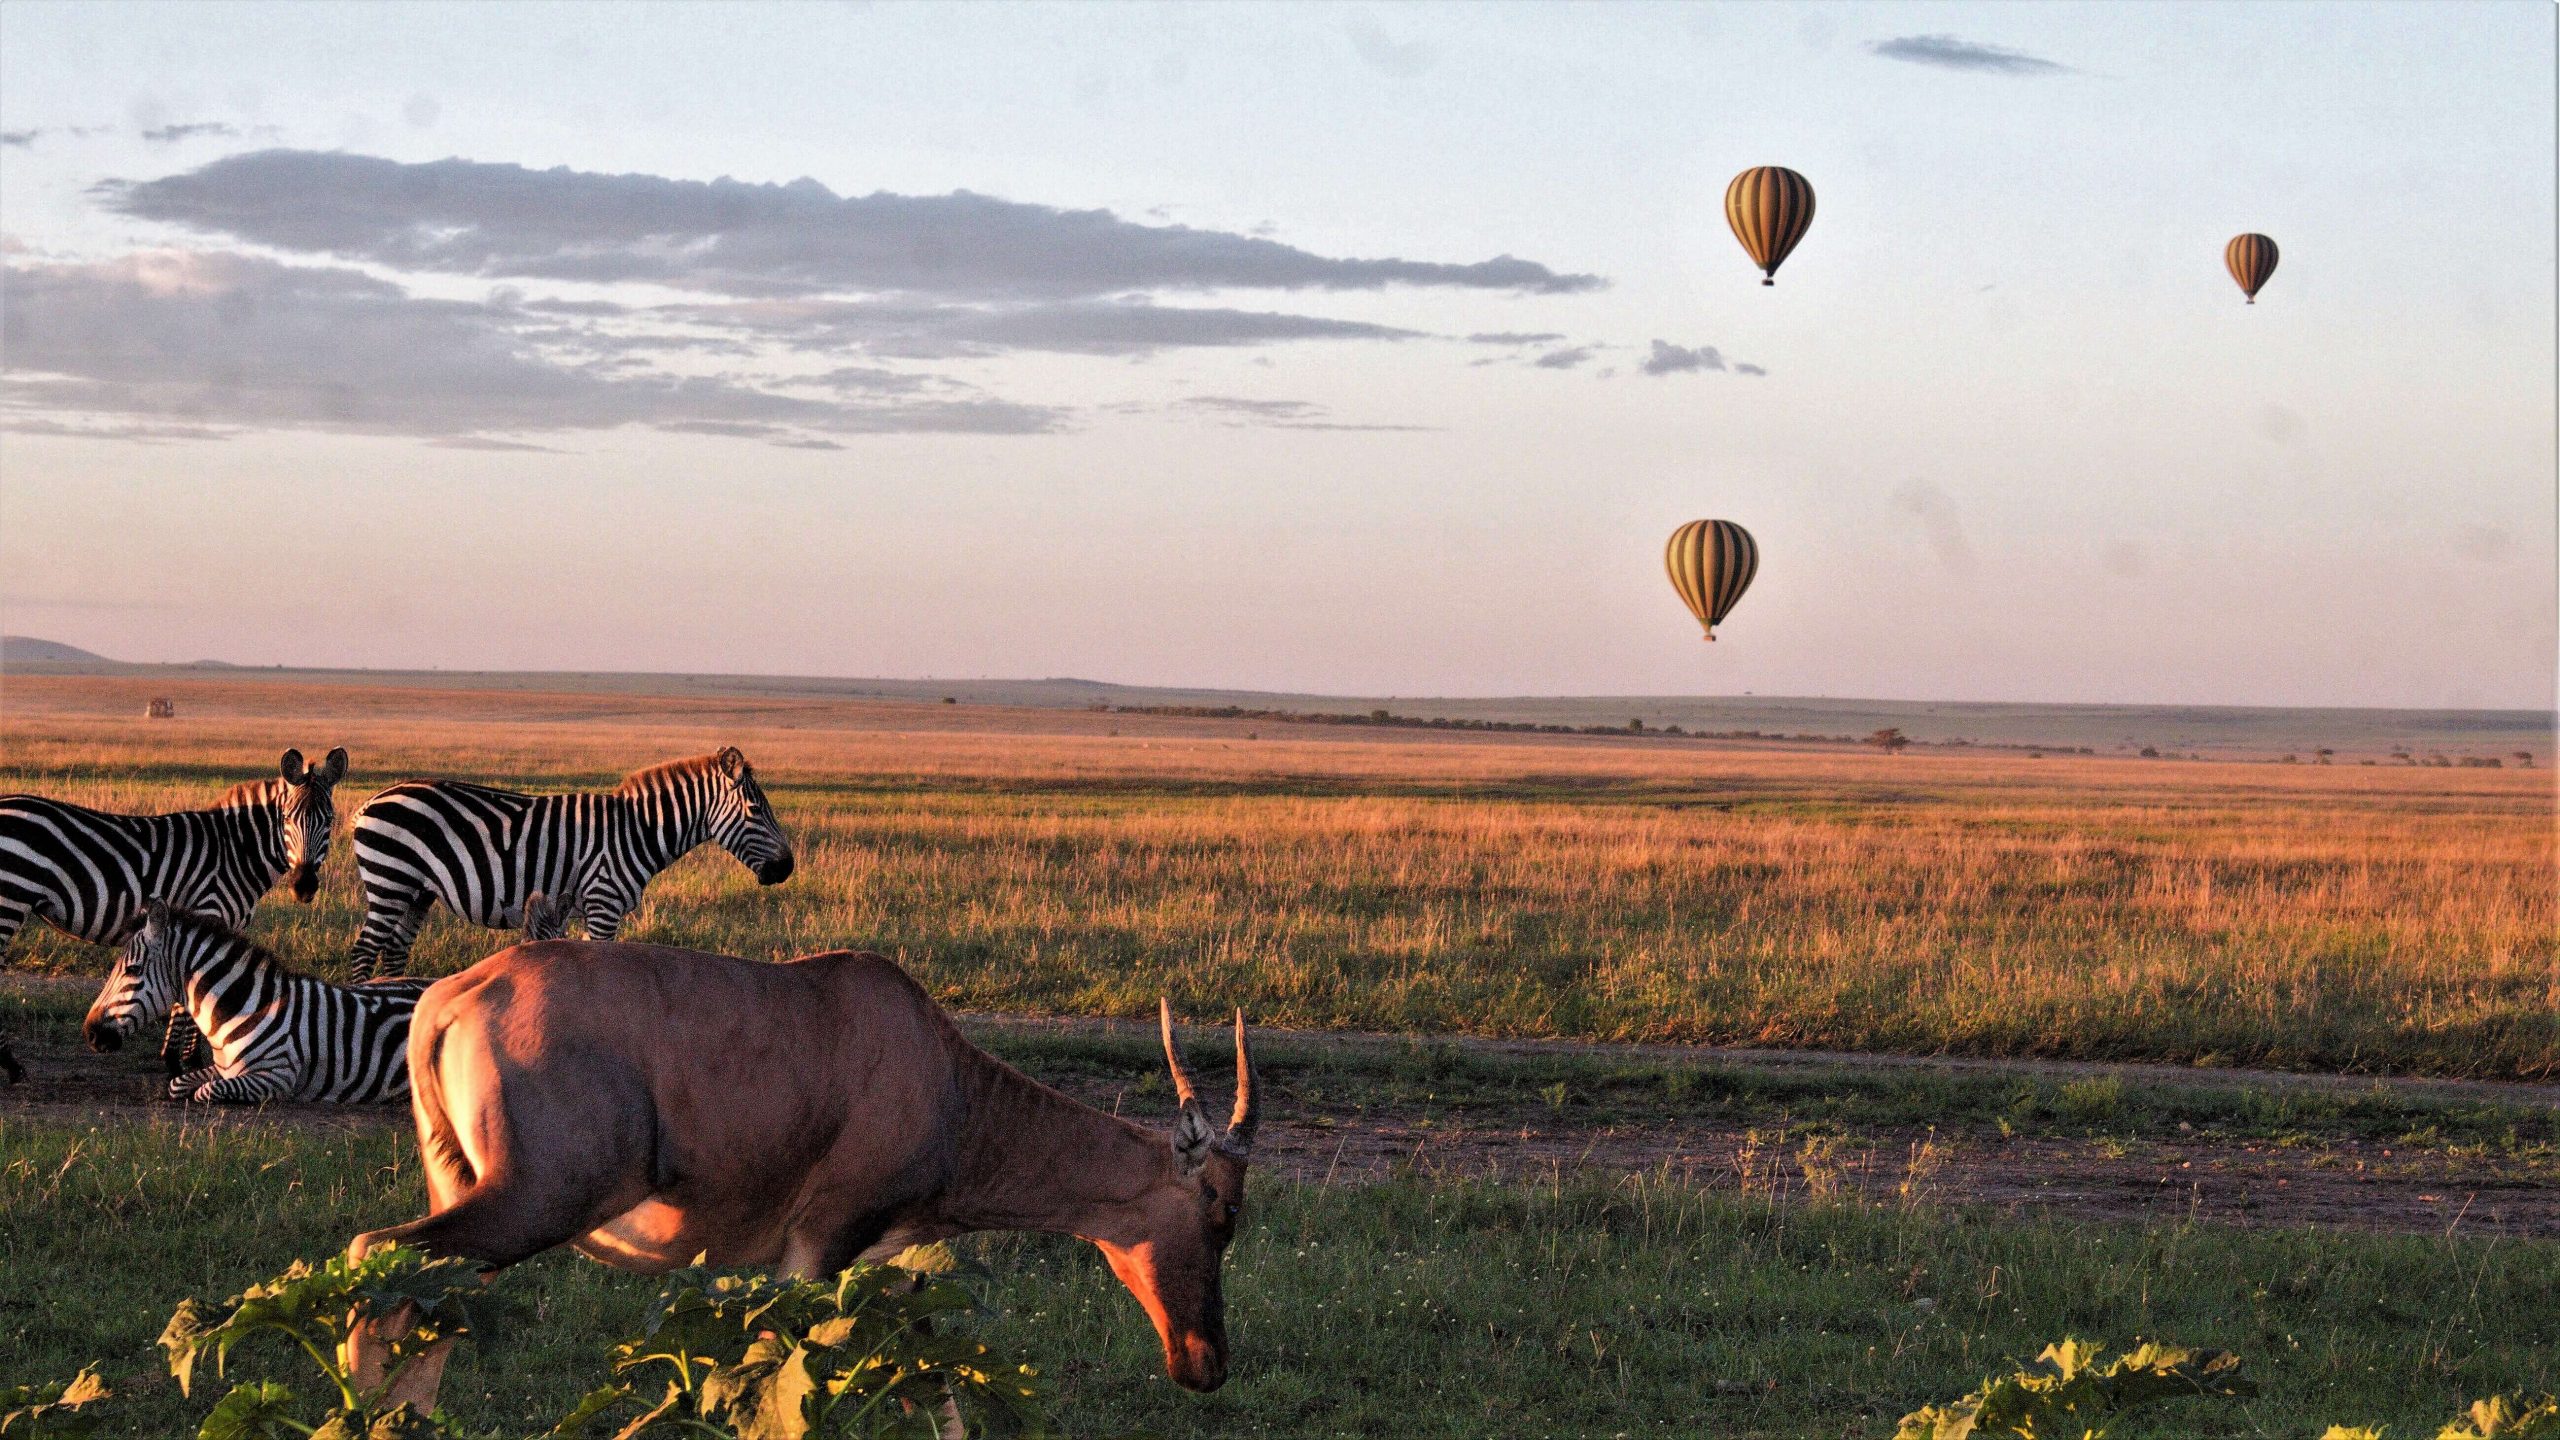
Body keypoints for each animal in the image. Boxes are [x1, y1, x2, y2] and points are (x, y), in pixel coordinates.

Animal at [1, 743, 350, 1081]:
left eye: (329, 820)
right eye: (287, 819)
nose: (304, 886)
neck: (235, 852)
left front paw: (181, 1060)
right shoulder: (208, 911)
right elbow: (194, 991)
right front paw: (183, 1062)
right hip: (10, 902)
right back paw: (12, 1066)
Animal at [82, 901, 427, 1101]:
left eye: (132, 970)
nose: (90, 1034)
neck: (246, 1009)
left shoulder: (276, 1076)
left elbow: (204, 1092)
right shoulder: (224, 1068)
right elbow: (178, 1083)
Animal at [340, 937, 1259, 1404]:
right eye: (1221, 1211)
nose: (1206, 1363)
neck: (928, 1060)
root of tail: (452, 998)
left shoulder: (876, 1262)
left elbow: (924, 1366)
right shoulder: (818, 1249)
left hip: (466, 1191)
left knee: (422, 1308)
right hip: (531, 1204)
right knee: (373, 1259)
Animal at [350, 753, 788, 973]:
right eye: (755, 810)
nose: (787, 868)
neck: (637, 831)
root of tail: (371, 801)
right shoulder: (603, 902)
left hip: (417, 892)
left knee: (394, 950)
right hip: (391, 881)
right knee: (365, 950)